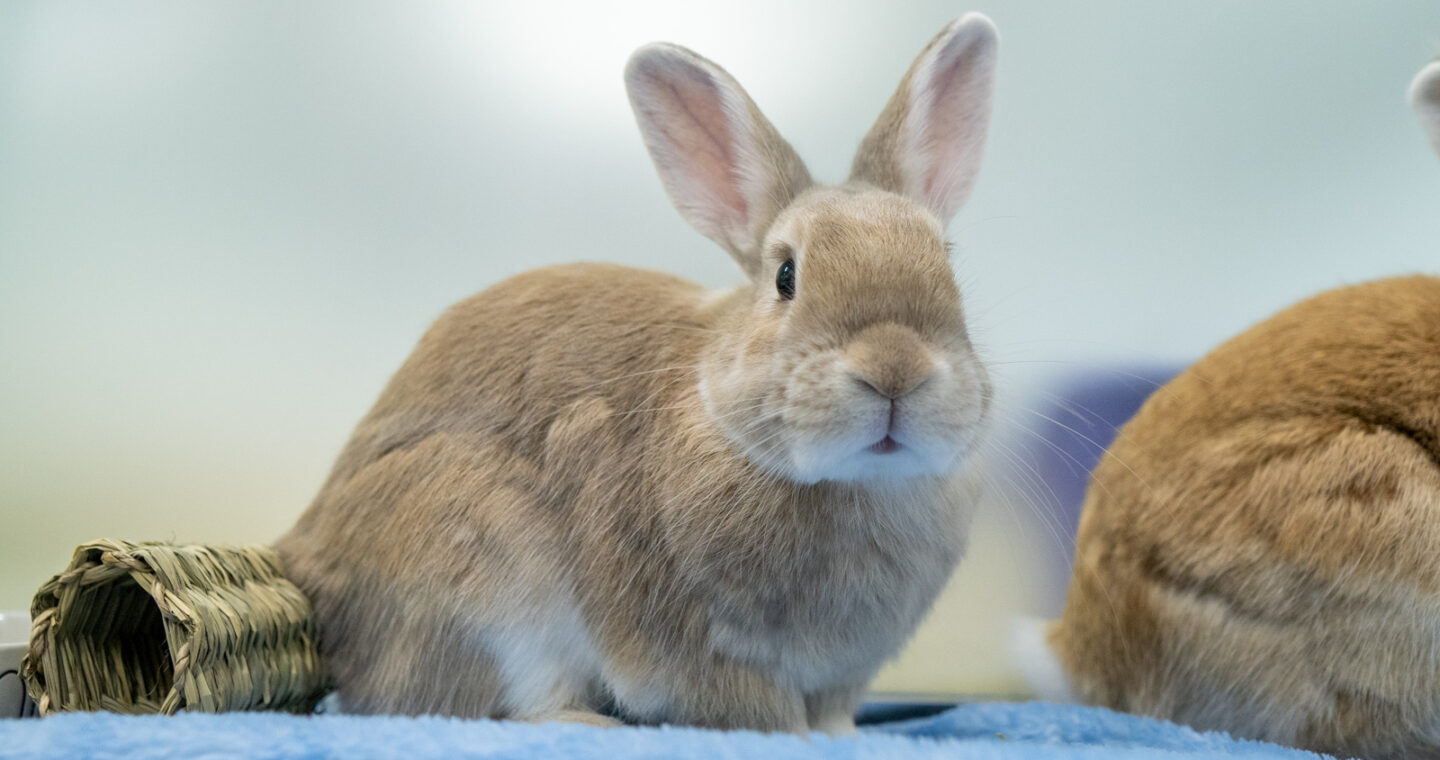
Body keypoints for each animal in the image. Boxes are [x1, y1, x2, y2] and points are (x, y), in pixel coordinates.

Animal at [277, 14, 1002, 734]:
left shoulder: (837, 676)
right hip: (486, 576)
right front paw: (797, 738)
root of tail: (306, 558)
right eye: (785, 276)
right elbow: (757, 710)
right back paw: (588, 724)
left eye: (945, 264)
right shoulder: (698, 649)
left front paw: (841, 738)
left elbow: (829, 714)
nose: (895, 371)